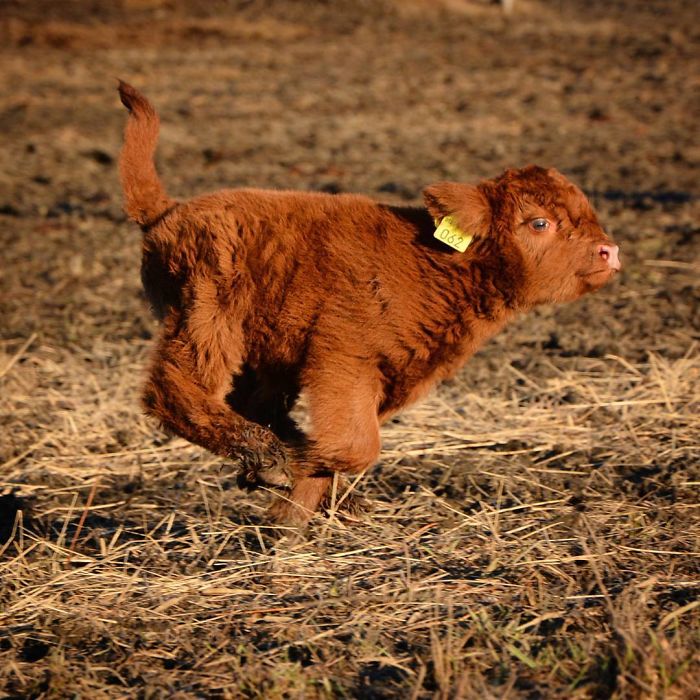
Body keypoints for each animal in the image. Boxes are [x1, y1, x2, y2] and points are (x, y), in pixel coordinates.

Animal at [117, 80, 620, 524]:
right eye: (539, 223)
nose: (609, 252)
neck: (438, 264)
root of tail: (168, 210)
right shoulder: (344, 361)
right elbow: (356, 445)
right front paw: (287, 502)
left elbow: (343, 446)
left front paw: (294, 508)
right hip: (207, 316)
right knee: (175, 389)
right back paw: (266, 457)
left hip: (264, 347)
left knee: (253, 403)